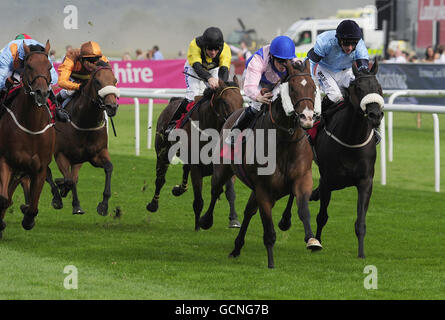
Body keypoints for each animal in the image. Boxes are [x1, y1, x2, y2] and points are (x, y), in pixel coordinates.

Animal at [0, 40, 55, 236]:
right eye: (29, 66)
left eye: (50, 66)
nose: (41, 93)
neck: (31, 127)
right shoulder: (6, 161)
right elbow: (3, 198)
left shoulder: (39, 168)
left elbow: (33, 206)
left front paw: (28, 219)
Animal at [46, 60, 119, 215]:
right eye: (97, 81)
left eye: (115, 80)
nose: (112, 106)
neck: (85, 123)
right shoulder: (60, 154)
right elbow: (69, 180)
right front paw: (61, 191)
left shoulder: (95, 154)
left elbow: (109, 167)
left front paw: (103, 205)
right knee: (48, 172)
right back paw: (58, 196)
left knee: (73, 176)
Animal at [146, 79, 243, 231]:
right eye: (225, 102)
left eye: (242, 101)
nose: (235, 124)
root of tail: (173, 101)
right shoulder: (196, 167)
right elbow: (198, 199)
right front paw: (198, 226)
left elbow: (230, 193)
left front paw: (233, 219)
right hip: (162, 153)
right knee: (160, 179)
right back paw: (153, 204)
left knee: (185, 169)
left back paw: (179, 189)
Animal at [198, 59, 320, 268]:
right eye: (293, 88)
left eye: (313, 88)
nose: (307, 118)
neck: (284, 141)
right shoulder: (263, 188)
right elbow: (268, 230)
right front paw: (271, 263)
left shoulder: (302, 179)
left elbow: (303, 209)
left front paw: (312, 240)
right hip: (223, 170)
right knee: (216, 191)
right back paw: (206, 221)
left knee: (248, 212)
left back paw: (237, 247)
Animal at [280, 60, 382, 258]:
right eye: (359, 88)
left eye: (379, 87)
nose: (375, 115)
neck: (351, 139)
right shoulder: (328, 180)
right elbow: (322, 216)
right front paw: (316, 241)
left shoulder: (365, 181)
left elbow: (360, 221)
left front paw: (361, 253)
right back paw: (285, 220)